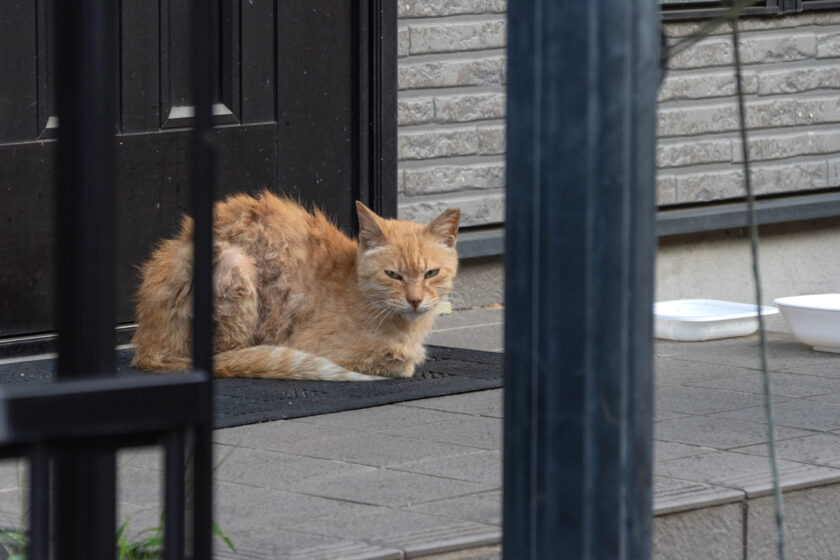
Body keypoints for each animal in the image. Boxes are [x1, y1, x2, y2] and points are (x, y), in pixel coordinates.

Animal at [130, 191, 460, 380]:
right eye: (393, 275)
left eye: (431, 273)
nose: (415, 300)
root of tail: (147, 346)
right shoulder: (319, 345)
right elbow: (400, 362)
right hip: (236, 263)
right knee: (228, 356)